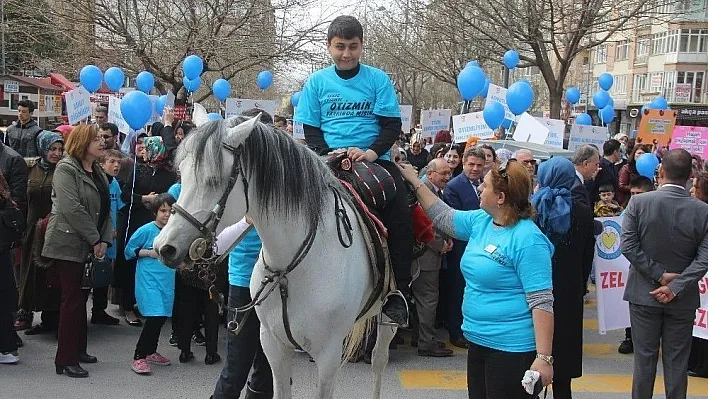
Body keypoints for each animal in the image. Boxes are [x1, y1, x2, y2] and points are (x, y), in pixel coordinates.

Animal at [153, 104, 398, 398]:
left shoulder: (328, 356)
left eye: (213, 180)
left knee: (379, 362)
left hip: (388, 320)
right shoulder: (273, 345)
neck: (290, 270)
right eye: (181, 172)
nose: (164, 247)